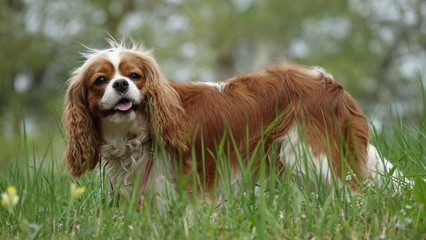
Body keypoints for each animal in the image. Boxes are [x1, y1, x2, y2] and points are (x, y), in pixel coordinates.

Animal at [62, 39, 400, 204]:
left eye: (135, 76)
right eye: (101, 80)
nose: (121, 85)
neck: (134, 135)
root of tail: (328, 82)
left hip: (313, 157)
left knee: (353, 193)